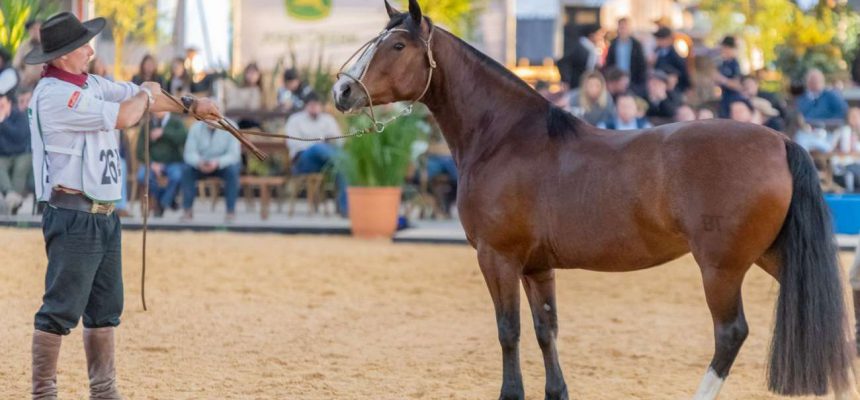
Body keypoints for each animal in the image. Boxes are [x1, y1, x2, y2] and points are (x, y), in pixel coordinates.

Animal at [330, 1, 852, 398]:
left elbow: (508, 331)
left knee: (730, 334)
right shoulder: (536, 267)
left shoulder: (497, 258)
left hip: (722, 267)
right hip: (774, 254)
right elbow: (545, 330)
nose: (342, 90)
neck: (505, 137)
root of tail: (779, 141)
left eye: (397, 46)